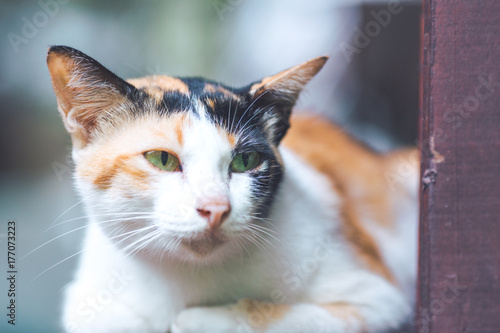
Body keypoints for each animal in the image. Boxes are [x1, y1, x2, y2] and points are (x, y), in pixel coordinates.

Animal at [47, 44, 418, 332]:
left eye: (246, 160)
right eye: (162, 159)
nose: (215, 207)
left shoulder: (380, 300)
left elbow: (288, 317)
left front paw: (197, 321)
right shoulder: (86, 309)